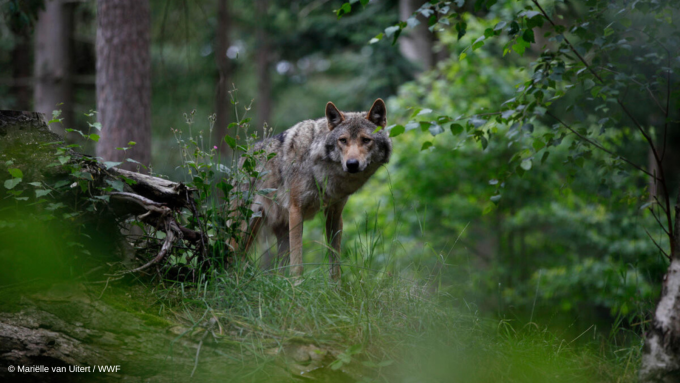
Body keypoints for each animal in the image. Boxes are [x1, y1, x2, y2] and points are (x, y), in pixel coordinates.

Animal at [232, 99, 394, 280]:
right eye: (343, 140)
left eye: (366, 140)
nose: (352, 164)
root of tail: (242, 158)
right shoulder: (296, 210)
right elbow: (298, 265)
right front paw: (297, 286)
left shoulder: (334, 214)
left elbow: (335, 264)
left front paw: (336, 287)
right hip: (244, 229)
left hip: (278, 234)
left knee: (277, 271)